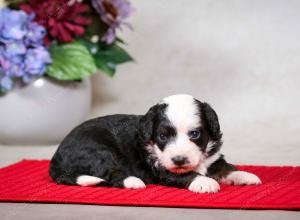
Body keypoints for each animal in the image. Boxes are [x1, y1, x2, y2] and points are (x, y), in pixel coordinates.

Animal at [49, 94, 260, 192]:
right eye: (163, 136)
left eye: (194, 134)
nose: (179, 160)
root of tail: (55, 159)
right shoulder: (160, 167)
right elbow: (184, 174)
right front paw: (204, 182)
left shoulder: (213, 157)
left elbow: (226, 166)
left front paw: (245, 175)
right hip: (98, 150)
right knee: (110, 173)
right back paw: (133, 181)